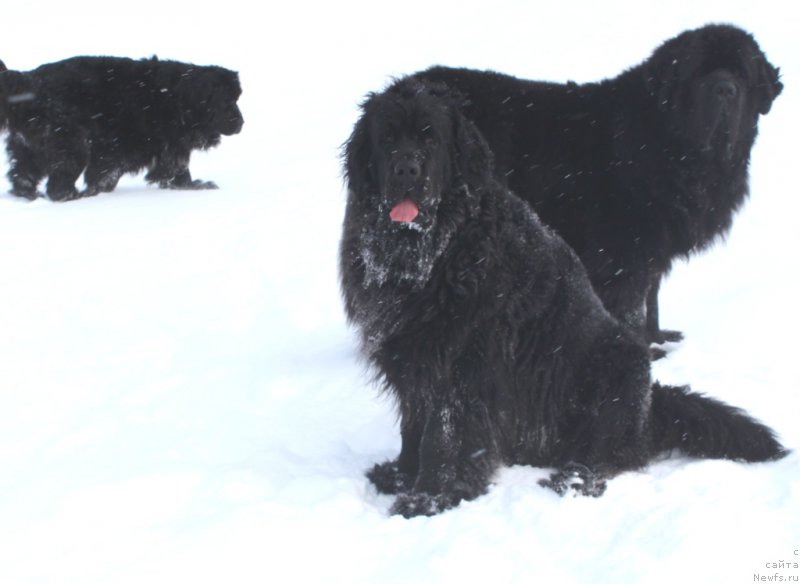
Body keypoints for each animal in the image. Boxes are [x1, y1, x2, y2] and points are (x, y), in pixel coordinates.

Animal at [0, 55, 244, 201]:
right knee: (58, 182)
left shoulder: (171, 147)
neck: (177, 98)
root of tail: (31, 80)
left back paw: (28, 195)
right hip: (72, 143)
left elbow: (176, 169)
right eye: (225, 101)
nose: (241, 122)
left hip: (30, 147)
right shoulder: (118, 149)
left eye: (236, 98)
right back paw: (71, 196)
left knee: (22, 174)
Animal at [340, 76, 784, 516]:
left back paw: (573, 479)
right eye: (387, 138)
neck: (431, 251)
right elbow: (413, 423)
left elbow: (443, 434)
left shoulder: (462, 358)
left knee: (610, 453)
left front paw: (431, 496)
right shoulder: (411, 353)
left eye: (430, 138)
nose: (406, 168)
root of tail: (651, 411)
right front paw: (401, 475)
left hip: (619, 364)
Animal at [412, 25, 780, 346]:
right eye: (700, 72)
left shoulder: (653, 247)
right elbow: (630, 306)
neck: (669, 141)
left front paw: (658, 339)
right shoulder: (623, 251)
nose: (725, 89)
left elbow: (651, 297)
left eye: (742, 76)